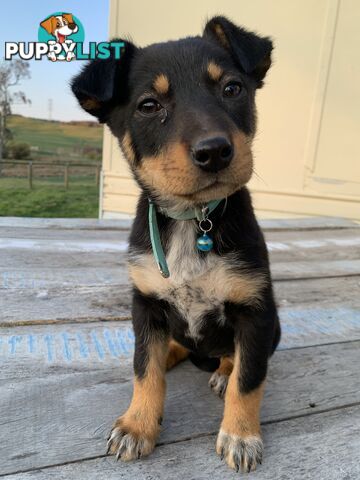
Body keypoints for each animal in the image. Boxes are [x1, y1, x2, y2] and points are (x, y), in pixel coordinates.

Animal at [71, 15, 282, 472]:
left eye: (232, 89)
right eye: (149, 106)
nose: (215, 151)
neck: (193, 219)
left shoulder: (255, 310)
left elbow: (249, 380)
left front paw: (241, 436)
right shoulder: (146, 303)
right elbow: (144, 370)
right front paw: (137, 426)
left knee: (234, 359)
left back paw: (223, 369)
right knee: (162, 349)